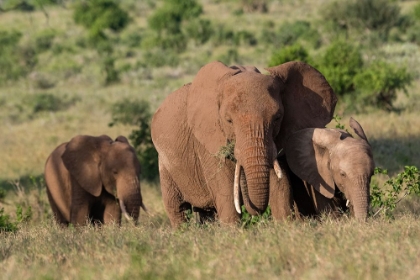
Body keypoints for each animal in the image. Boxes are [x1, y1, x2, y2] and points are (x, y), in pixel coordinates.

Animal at [149, 61, 336, 228]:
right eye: (228, 120)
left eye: (277, 118)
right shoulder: (207, 140)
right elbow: (225, 189)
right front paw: (234, 235)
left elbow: (280, 185)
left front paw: (285, 228)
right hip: (165, 164)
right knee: (177, 209)